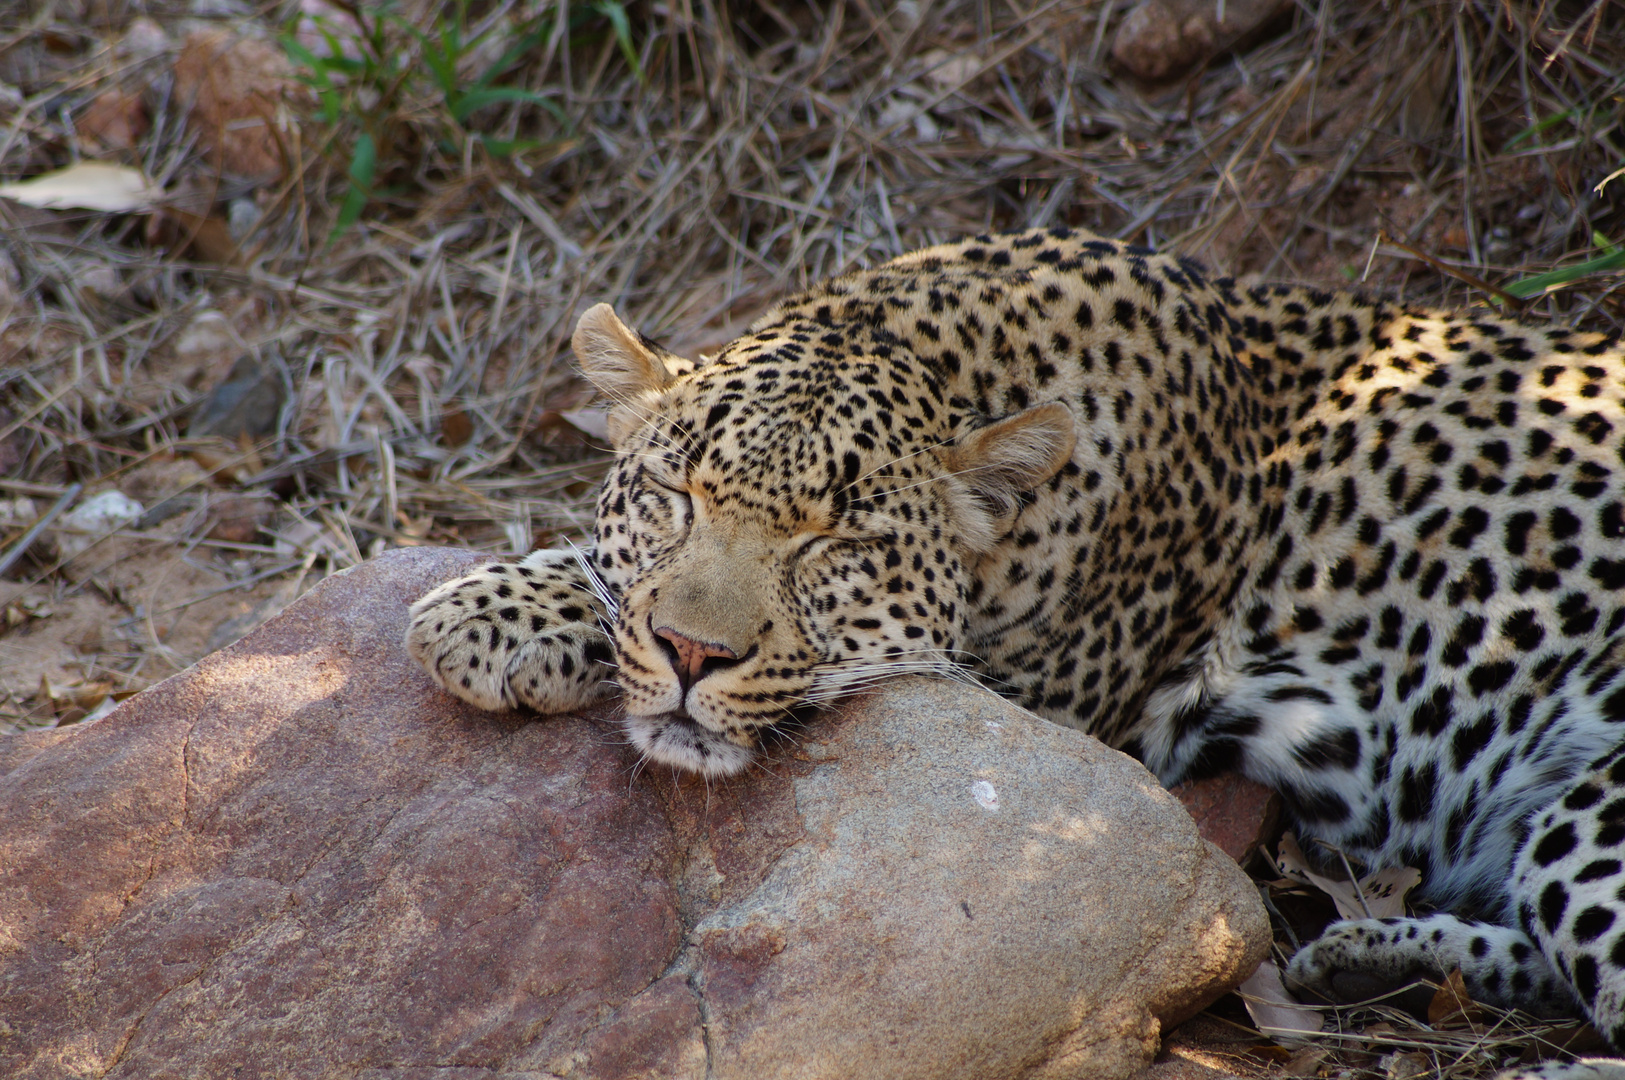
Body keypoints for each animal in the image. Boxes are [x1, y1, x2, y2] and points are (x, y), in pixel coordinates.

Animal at [403, 225, 1625, 1045]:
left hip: (1593, 802)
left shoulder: (1030, 698)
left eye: (837, 543)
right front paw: (516, 604)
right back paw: (1357, 962)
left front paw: (492, 611)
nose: (696, 656)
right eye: (675, 495)